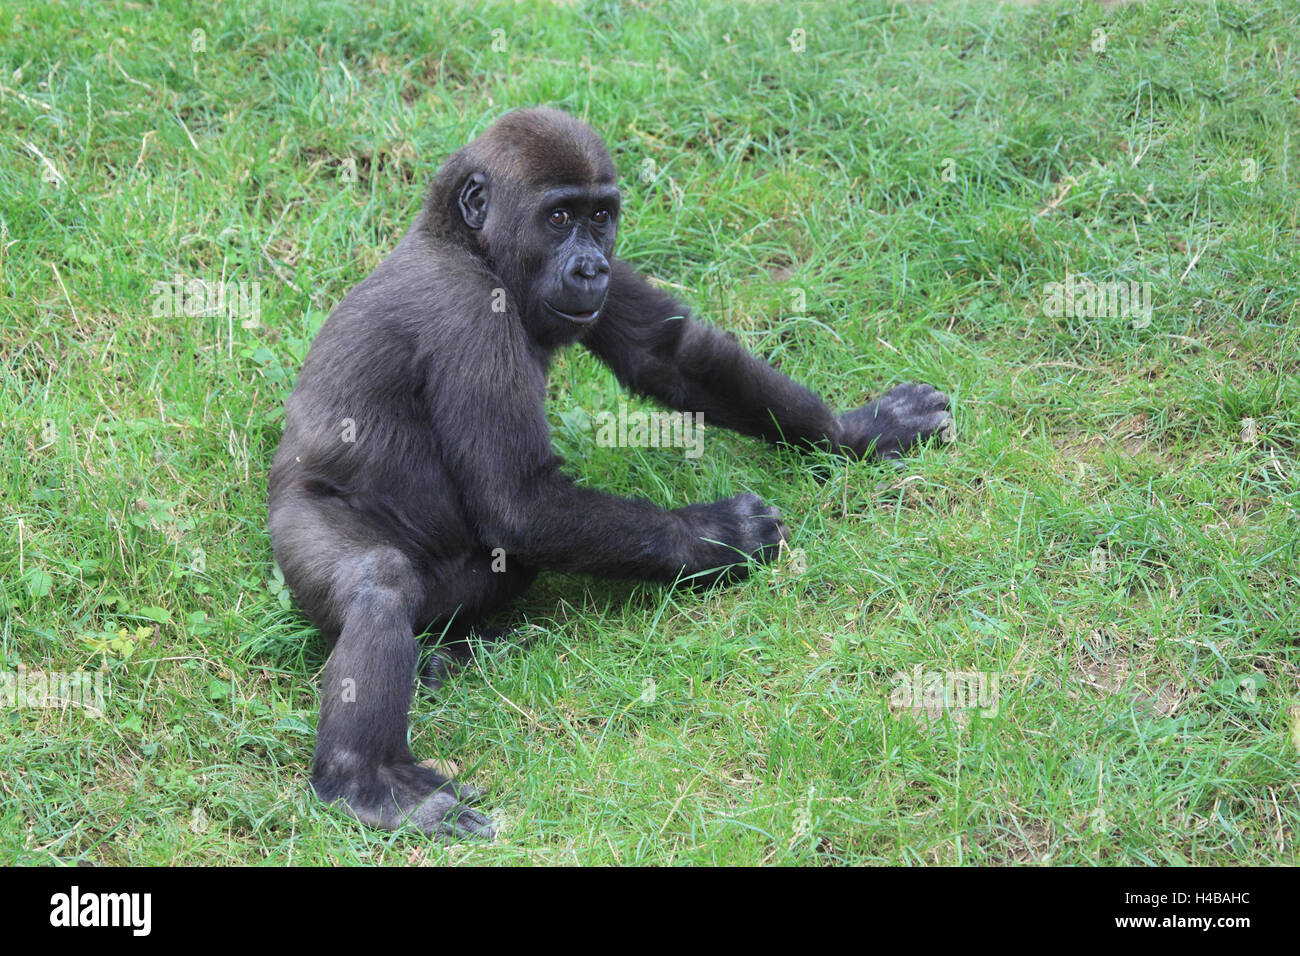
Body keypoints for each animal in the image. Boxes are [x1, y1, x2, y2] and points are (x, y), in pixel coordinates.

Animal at [269, 106, 951, 837]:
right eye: (558, 217)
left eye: (600, 216)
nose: (591, 266)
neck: (465, 242)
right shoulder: (469, 312)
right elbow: (519, 502)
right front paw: (719, 536)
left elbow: (670, 355)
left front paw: (857, 430)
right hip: (297, 531)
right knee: (380, 582)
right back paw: (363, 779)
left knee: (490, 574)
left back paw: (452, 650)